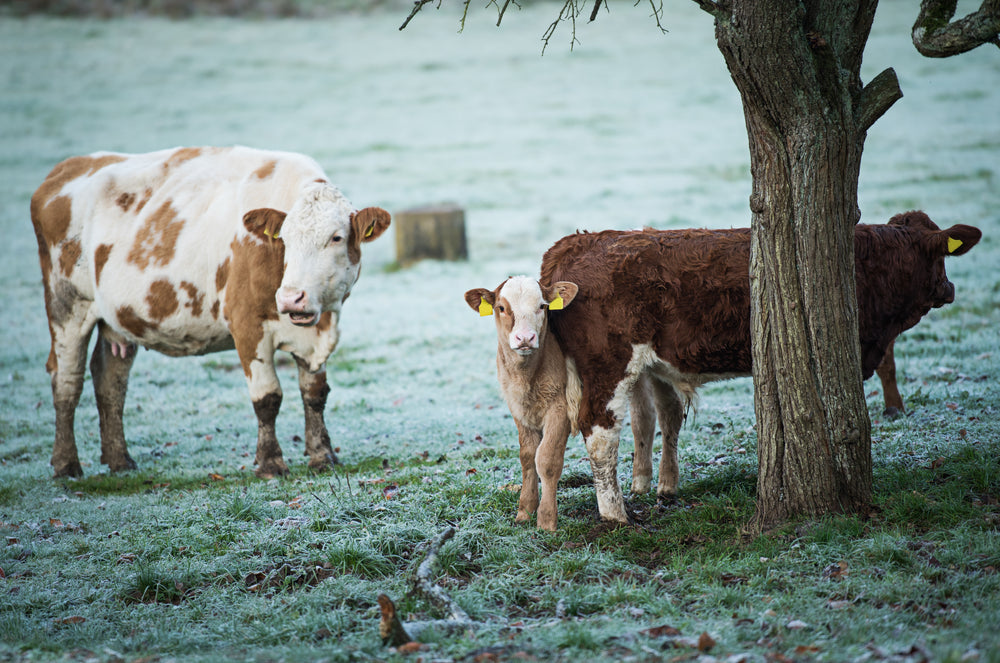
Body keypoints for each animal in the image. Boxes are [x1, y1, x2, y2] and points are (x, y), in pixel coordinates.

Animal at [30, 146, 391, 479]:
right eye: (284, 240)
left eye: (336, 237)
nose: (292, 298)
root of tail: (66, 168)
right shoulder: (247, 326)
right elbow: (267, 398)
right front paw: (270, 463)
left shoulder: (313, 332)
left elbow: (314, 394)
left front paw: (322, 455)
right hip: (66, 306)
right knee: (67, 379)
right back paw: (66, 464)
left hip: (118, 317)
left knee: (110, 380)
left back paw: (120, 460)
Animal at [464, 276, 581, 531]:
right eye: (501, 307)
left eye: (542, 306)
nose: (525, 338)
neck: (527, 380)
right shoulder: (518, 411)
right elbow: (528, 457)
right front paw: (525, 511)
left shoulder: (560, 409)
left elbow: (546, 459)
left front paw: (546, 520)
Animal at [538, 211, 981, 524]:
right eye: (944, 257)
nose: (949, 289)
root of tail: (581, 240)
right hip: (609, 367)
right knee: (599, 433)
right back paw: (616, 515)